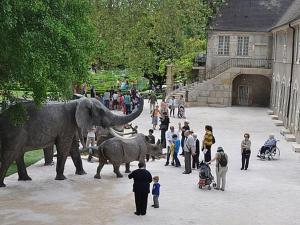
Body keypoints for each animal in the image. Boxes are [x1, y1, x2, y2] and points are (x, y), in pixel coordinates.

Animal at [0, 97, 144, 187]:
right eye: (102, 111)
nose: (141, 97)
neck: (76, 101)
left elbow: (74, 147)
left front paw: (82, 174)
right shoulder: (66, 125)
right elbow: (64, 147)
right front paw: (61, 178)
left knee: (18, 154)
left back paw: (25, 179)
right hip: (14, 131)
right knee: (9, 155)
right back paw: (3, 185)